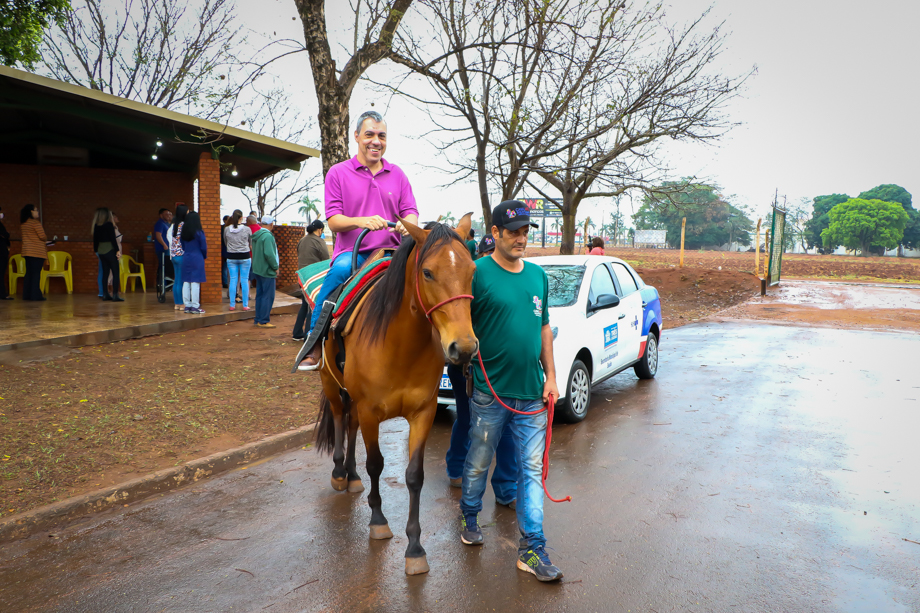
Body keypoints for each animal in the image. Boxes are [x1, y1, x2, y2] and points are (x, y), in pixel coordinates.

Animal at [314, 214, 478, 572]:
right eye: (427, 272)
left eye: (472, 270)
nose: (463, 347)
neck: (401, 345)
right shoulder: (371, 410)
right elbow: (376, 464)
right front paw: (378, 521)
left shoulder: (422, 413)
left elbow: (414, 476)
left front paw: (415, 547)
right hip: (331, 384)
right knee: (339, 417)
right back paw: (339, 473)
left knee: (350, 424)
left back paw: (352, 475)